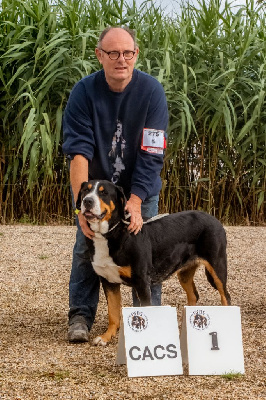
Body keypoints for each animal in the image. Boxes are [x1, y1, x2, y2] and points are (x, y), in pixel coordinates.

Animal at [75, 180, 231, 346]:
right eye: (85, 191)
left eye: (103, 192)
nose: (87, 201)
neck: (110, 234)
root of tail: (214, 218)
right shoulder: (108, 281)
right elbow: (113, 312)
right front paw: (106, 337)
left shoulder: (142, 282)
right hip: (184, 273)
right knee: (194, 295)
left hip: (217, 267)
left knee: (225, 296)